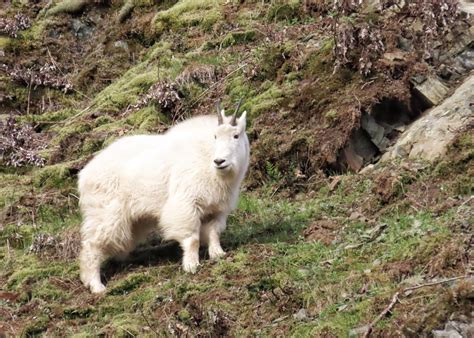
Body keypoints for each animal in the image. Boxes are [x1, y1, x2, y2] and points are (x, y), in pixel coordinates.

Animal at [77, 100, 252, 294]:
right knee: (92, 246)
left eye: (236, 135)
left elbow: (214, 232)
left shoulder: (218, 208)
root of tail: (84, 175)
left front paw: (218, 254)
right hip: (105, 214)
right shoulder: (186, 203)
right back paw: (96, 285)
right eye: (215, 136)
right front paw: (191, 265)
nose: (219, 161)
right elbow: (192, 238)